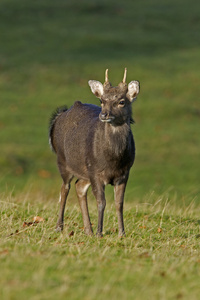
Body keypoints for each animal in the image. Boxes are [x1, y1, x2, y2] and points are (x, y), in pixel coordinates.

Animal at [48, 68, 139, 237]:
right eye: (102, 101)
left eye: (121, 101)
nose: (104, 115)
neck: (113, 160)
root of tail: (59, 115)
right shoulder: (95, 171)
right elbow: (101, 202)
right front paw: (99, 233)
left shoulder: (124, 173)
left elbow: (119, 203)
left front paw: (121, 233)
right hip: (62, 160)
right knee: (64, 189)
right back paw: (59, 227)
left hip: (84, 172)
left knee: (79, 186)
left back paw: (87, 230)